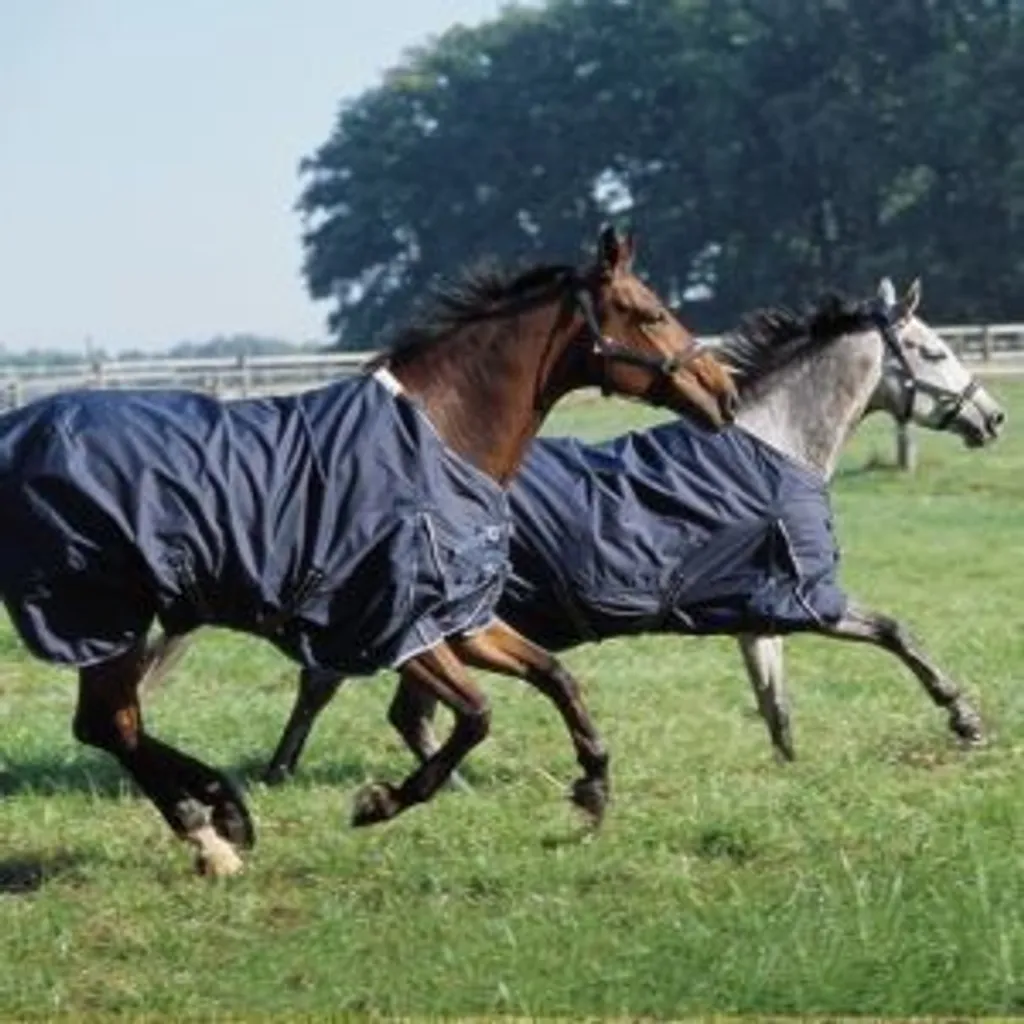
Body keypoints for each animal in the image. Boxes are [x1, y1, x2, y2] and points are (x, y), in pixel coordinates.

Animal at [0, 227, 737, 876]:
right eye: (651, 312)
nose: (723, 393)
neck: (442, 434)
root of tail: (16, 434)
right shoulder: (397, 627)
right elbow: (476, 715)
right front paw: (382, 801)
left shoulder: (462, 620)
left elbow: (557, 677)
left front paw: (592, 792)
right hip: (100, 618)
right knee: (110, 725)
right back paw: (214, 828)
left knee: (110, 724)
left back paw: (220, 816)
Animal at [185, 277, 1001, 793]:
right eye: (934, 351)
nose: (990, 416)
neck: (776, 445)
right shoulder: (807, 598)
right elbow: (896, 633)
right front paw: (965, 719)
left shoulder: (757, 609)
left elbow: (775, 698)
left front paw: (791, 762)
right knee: (339, 684)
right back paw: (310, 771)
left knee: (394, 705)